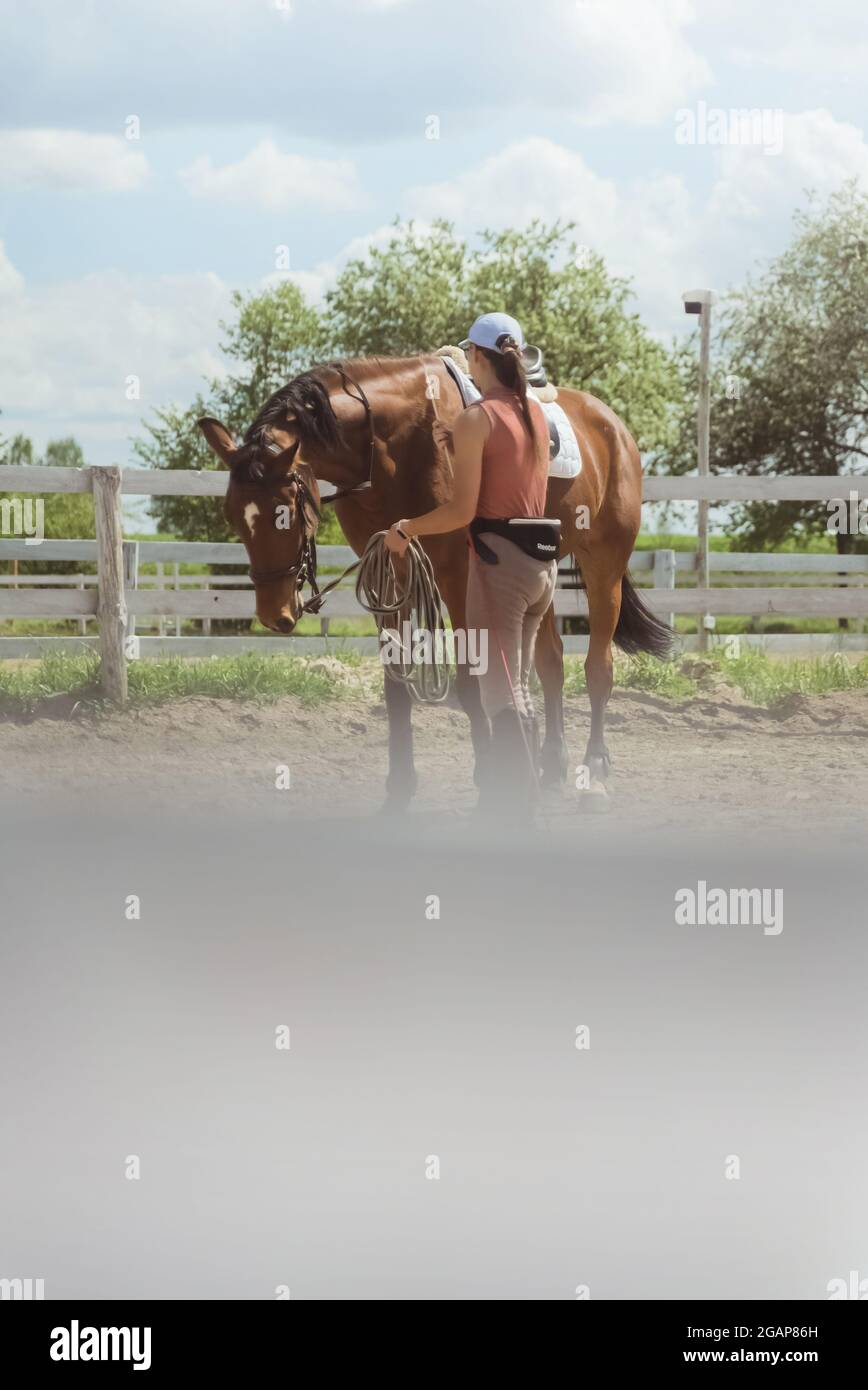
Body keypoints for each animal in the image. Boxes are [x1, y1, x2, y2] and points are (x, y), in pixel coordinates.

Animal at [198, 350, 670, 806]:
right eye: (233, 516)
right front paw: (400, 787)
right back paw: (551, 767)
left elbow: (470, 681)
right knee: (550, 664)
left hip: (603, 564)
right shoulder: (391, 573)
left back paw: (595, 773)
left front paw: (489, 777)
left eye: (285, 514)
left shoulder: (457, 577)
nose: (273, 613)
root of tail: (612, 425)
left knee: (598, 669)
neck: (395, 446)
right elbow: (395, 683)